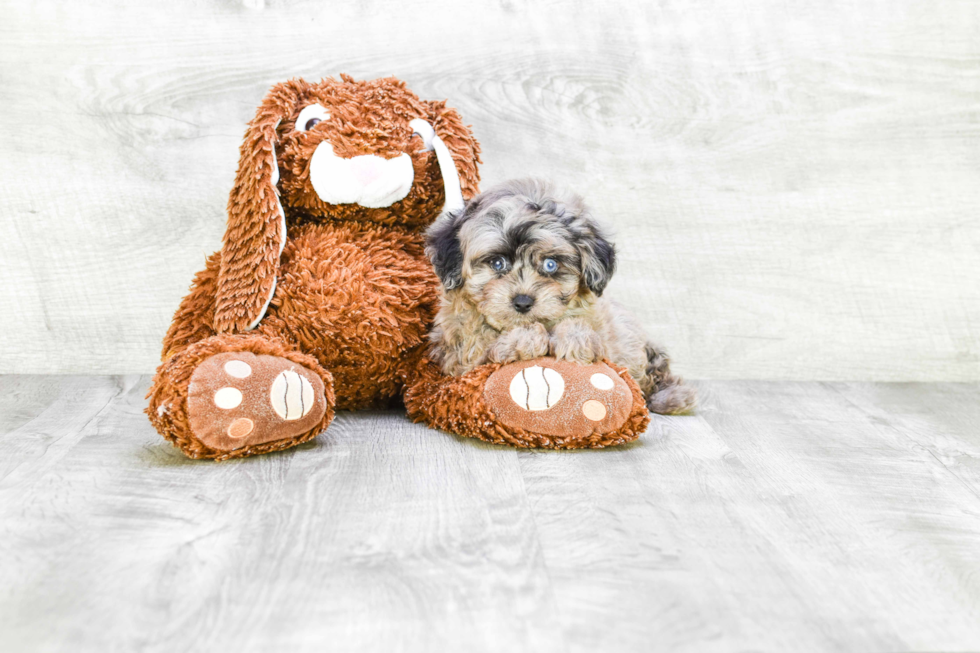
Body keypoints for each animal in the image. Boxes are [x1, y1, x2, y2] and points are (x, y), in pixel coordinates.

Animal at [426, 176, 696, 416]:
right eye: (497, 263)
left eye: (550, 264)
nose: (523, 302)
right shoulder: (457, 358)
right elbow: (482, 351)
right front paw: (523, 338)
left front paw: (575, 338)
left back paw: (673, 397)